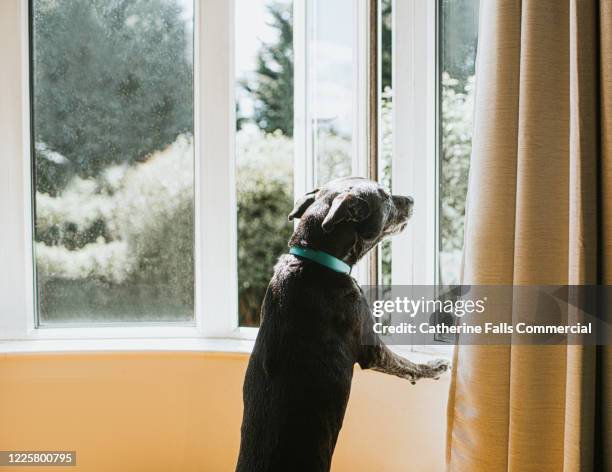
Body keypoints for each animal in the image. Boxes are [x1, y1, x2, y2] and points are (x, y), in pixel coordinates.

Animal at [237, 178, 448, 472]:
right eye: (385, 197)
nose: (412, 199)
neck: (314, 260)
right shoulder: (372, 347)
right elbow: (406, 364)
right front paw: (434, 367)